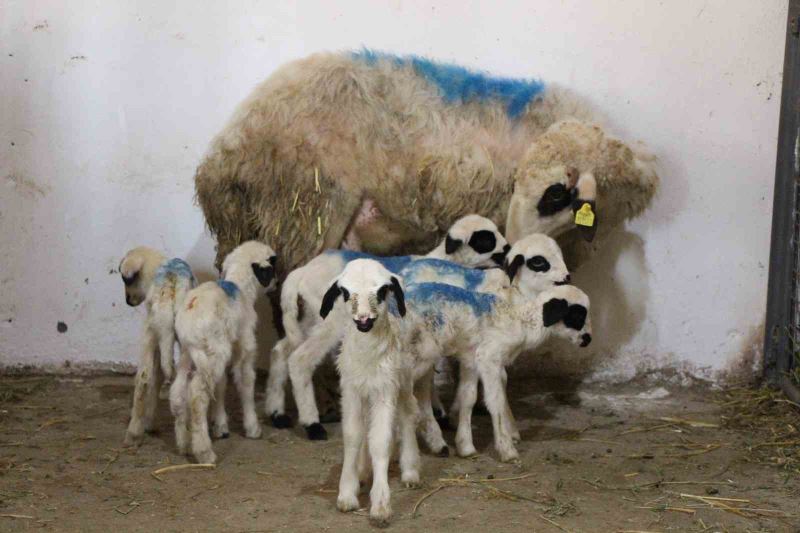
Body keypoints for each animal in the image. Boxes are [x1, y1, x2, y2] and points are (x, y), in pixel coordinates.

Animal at [170, 239, 276, 464]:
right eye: (272, 266)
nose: (277, 282)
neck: (240, 288)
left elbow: (220, 386)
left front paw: (220, 426)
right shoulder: (245, 347)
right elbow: (245, 382)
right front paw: (252, 427)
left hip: (190, 354)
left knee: (178, 392)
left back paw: (184, 444)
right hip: (213, 351)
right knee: (197, 395)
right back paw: (204, 452)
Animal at [318, 260, 418, 524]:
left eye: (382, 291)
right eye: (344, 292)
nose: (363, 319)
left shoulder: (385, 390)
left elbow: (380, 441)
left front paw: (381, 505)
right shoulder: (351, 391)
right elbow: (353, 436)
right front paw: (347, 493)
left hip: (404, 381)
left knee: (407, 415)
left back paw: (411, 471)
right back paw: (363, 471)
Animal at [410, 282, 592, 462]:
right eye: (578, 316)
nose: (588, 339)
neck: (521, 321)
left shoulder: (471, 359)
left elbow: (468, 398)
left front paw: (465, 447)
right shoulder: (489, 358)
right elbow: (495, 400)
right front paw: (506, 449)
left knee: (421, 394)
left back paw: (436, 444)